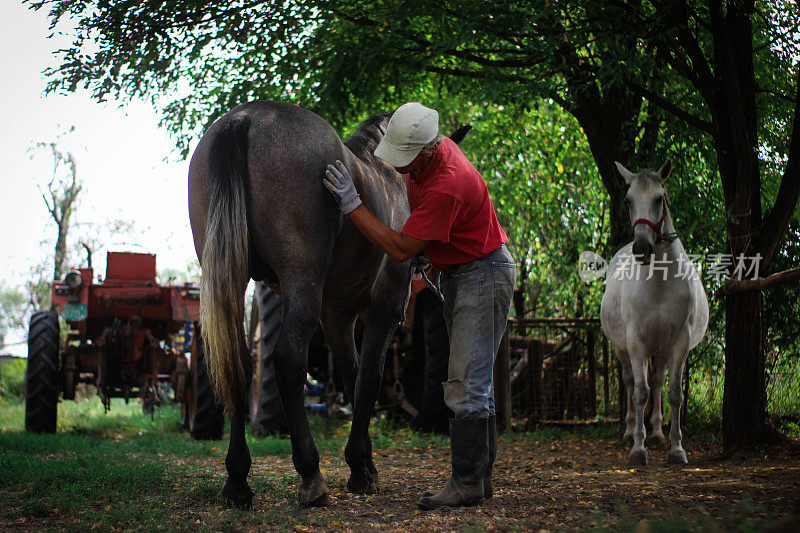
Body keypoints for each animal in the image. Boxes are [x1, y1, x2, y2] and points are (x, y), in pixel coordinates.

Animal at [187, 101, 466, 508]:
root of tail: (246, 119)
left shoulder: (336, 315)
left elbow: (352, 377)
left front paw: (363, 463)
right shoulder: (383, 311)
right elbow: (369, 380)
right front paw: (361, 468)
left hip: (229, 277)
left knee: (237, 361)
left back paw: (237, 479)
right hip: (301, 276)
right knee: (288, 360)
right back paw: (310, 475)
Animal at [604, 160, 708, 464]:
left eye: (659, 198)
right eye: (628, 200)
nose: (642, 248)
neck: (659, 282)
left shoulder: (680, 343)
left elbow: (674, 393)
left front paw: (676, 448)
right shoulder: (636, 343)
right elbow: (640, 392)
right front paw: (638, 449)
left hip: (661, 349)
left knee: (660, 382)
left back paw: (659, 434)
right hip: (622, 348)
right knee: (629, 381)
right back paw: (629, 431)